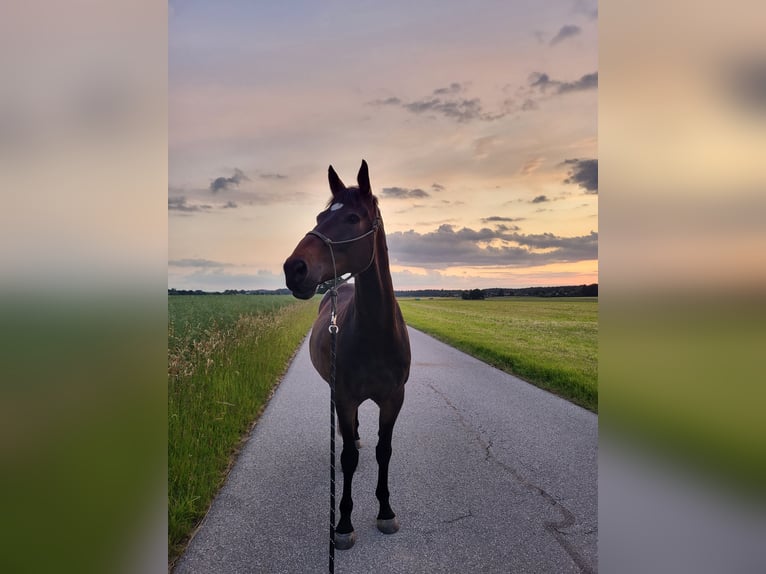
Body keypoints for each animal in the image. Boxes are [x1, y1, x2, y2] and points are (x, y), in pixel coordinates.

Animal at [283, 160, 411, 550]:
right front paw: (342, 522)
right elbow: (350, 458)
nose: (294, 268)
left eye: (352, 218)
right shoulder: (345, 395)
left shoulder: (394, 398)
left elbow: (384, 450)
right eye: (321, 215)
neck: (374, 335)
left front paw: (385, 511)